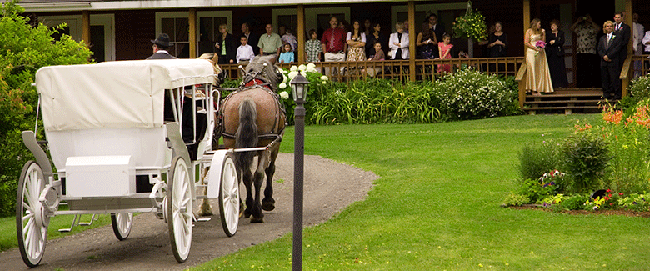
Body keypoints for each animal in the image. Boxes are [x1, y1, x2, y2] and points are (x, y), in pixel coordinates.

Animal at [219, 54, 282, 223]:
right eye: (278, 73)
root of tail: (248, 99)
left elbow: (244, 176)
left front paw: (247, 205)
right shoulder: (275, 144)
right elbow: (270, 169)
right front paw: (268, 200)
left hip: (231, 144)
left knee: (240, 175)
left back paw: (242, 207)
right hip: (265, 145)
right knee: (258, 175)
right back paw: (257, 212)